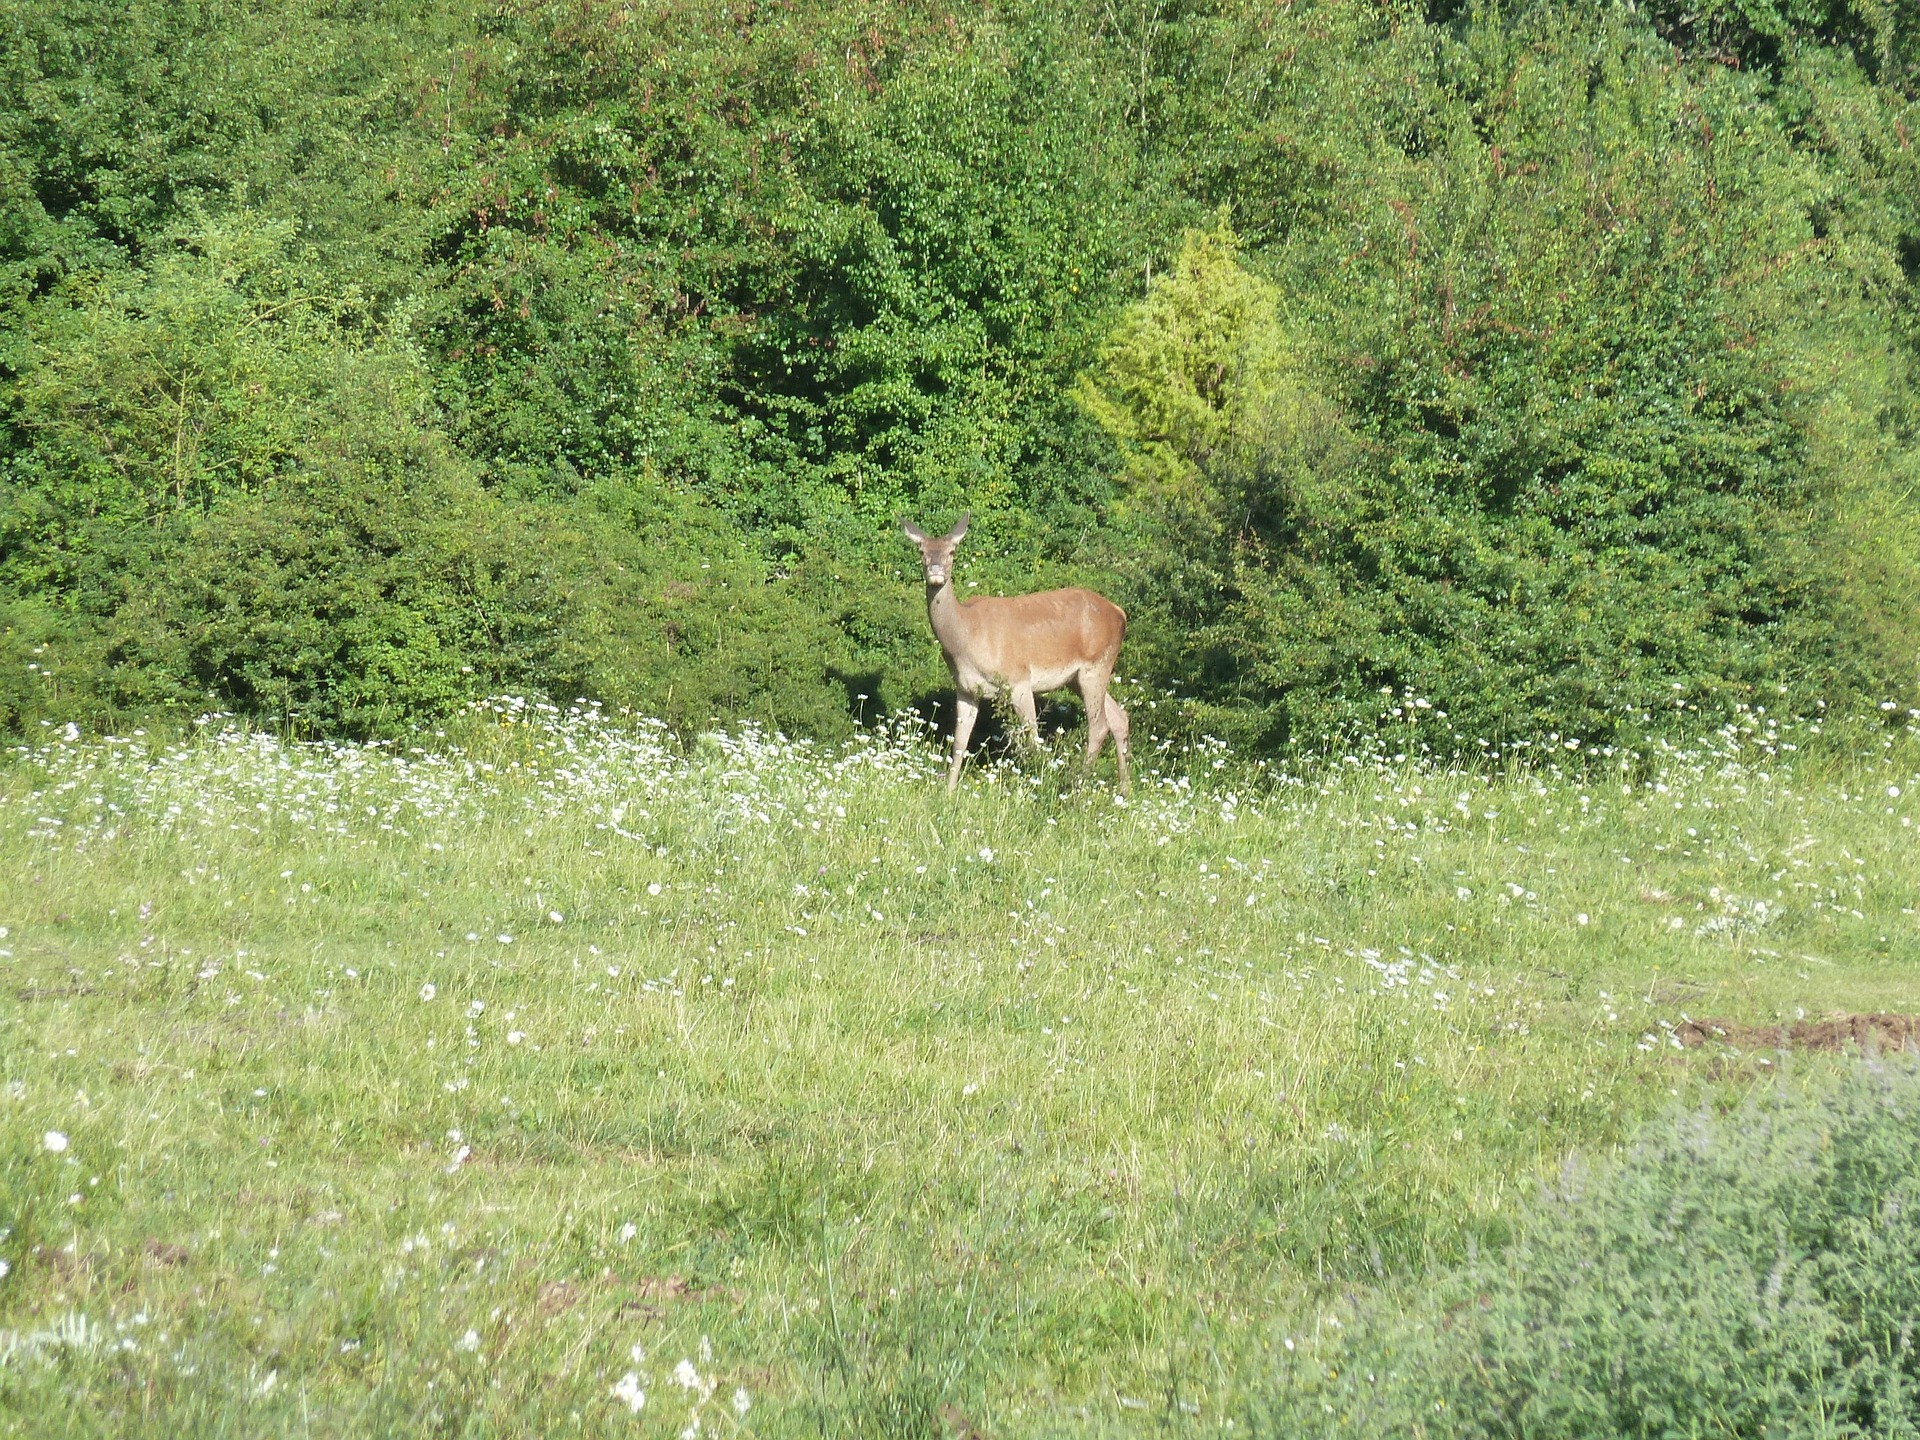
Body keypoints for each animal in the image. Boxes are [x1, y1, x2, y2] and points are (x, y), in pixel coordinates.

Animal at [898, 514, 1121, 794]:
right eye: (921, 550)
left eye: (952, 551)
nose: (936, 571)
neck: (966, 637)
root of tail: (1120, 614)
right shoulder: (966, 689)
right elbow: (960, 742)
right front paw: (948, 792)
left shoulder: (1018, 680)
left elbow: (1032, 737)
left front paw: (1035, 785)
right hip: (1080, 678)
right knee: (1119, 717)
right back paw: (1125, 790)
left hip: (1096, 665)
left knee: (1099, 725)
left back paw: (1078, 785)